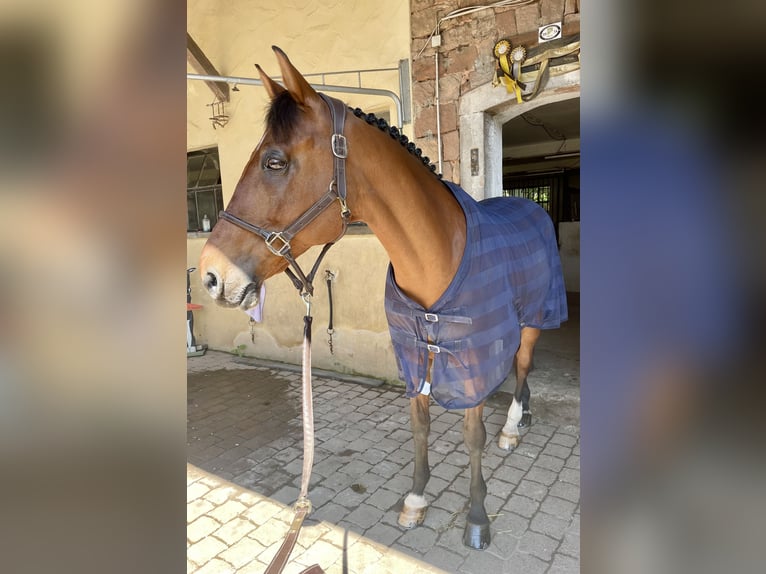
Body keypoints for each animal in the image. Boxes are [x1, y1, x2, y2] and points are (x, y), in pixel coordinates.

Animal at [199, 46, 567, 550]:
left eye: (274, 161)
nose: (210, 274)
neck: (438, 255)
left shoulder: (467, 361)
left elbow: (473, 435)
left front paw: (477, 517)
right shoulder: (413, 354)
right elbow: (420, 426)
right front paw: (416, 499)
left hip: (533, 315)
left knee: (524, 364)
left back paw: (513, 425)